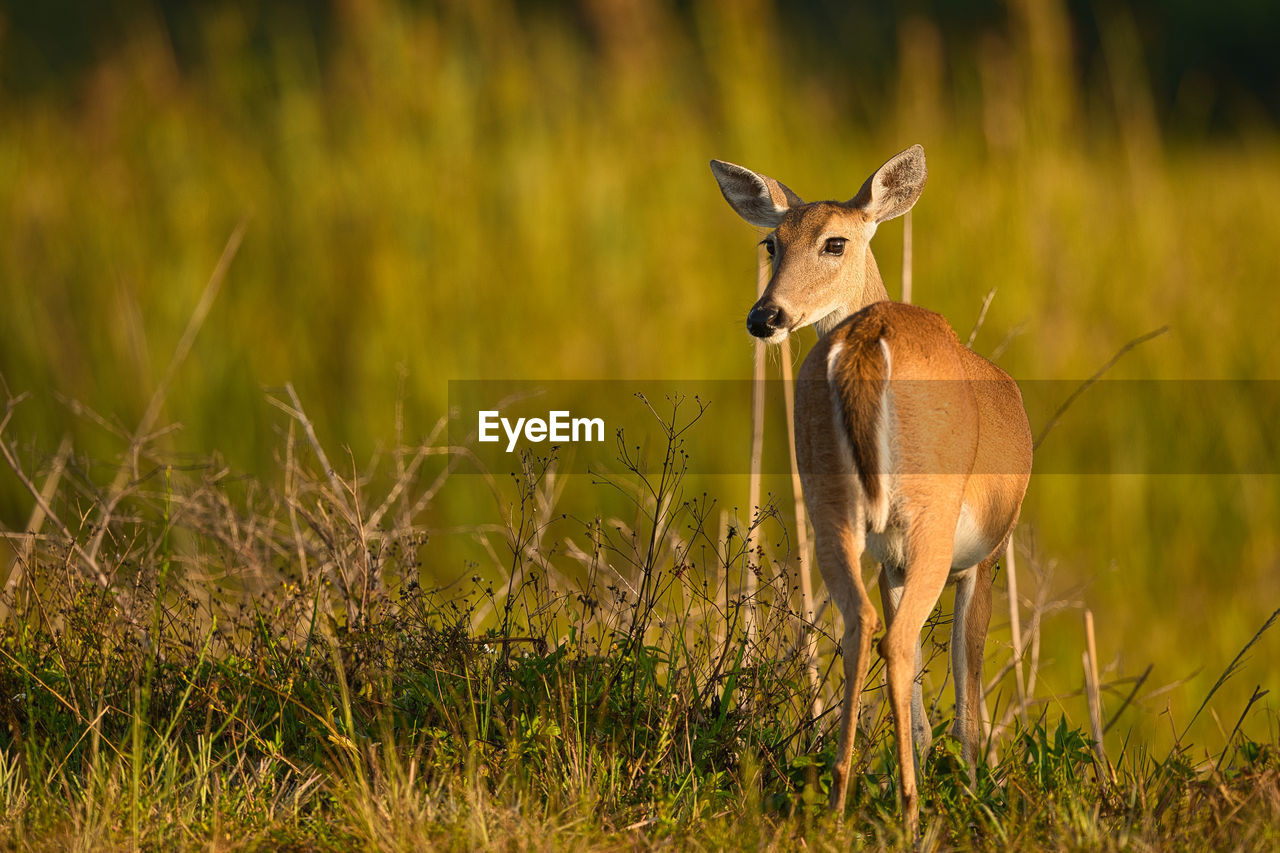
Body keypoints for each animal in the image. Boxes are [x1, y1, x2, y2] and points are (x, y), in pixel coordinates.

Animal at [706, 144, 1034, 829]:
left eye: (833, 242)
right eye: (772, 242)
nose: (765, 315)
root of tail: (864, 340)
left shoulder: (890, 560)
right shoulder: (984, 557)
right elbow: (966, 696)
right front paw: (973, 786)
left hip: (827, 501)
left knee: (860, 626)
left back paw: (837, 798)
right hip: (933, 515)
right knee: (899, 642)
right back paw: (908, 809)